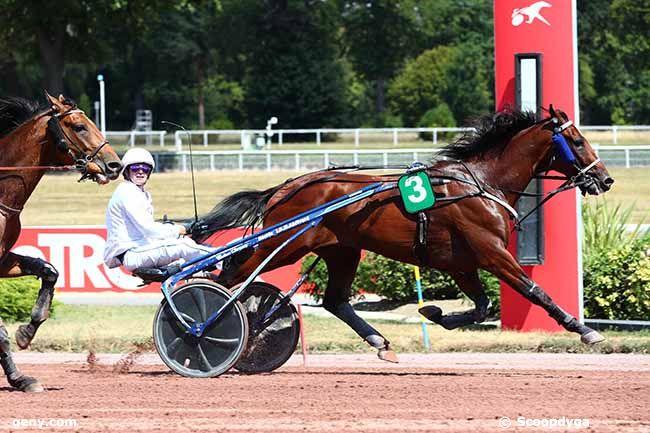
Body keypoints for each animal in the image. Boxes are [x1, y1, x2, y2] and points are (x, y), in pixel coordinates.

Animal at [192, 107, 612, 362]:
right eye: (577, 141)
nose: (605, 179)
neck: (481, 185)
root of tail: (285, 187)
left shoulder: (463, 263)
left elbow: (481, 306)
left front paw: (436, 313)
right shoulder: (492, 253)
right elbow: (535, 291)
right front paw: (584, 330)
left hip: (342, 250)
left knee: (335, 301)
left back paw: (380, 343)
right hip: (286, 244)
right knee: (232, 272)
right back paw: (206, 326)